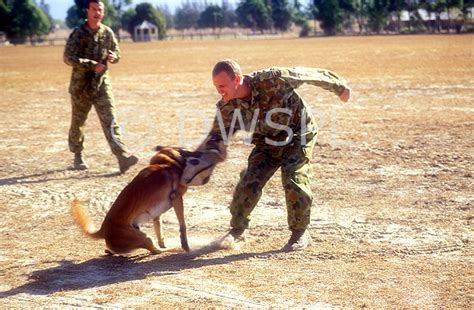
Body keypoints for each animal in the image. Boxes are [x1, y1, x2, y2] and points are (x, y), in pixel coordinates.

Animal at [71, 147, 226, 256]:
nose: (211, 150)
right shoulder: (177, 198)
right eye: (192, 156)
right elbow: (183, 226)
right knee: (154, 250)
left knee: (114, 250)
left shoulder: (157, 214)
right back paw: (172, 249)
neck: (167, 165)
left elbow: (160, 230)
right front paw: (185, 245)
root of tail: (103, 230)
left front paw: (165, 242)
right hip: (144, 237)